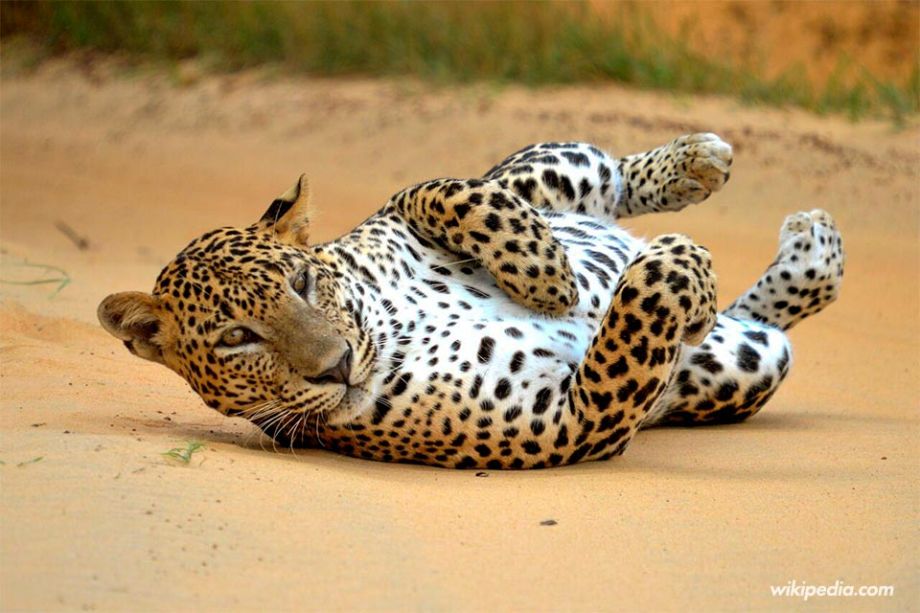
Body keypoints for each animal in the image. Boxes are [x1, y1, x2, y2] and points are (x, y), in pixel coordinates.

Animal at [97, 135, 844, 468]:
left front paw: (551, 280)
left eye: (303, 284)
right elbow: (640, 311)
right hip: (745, 363)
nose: (336, 365)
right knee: (753, 320)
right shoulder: (574, 422)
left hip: (550, 171)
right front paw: (673, 262)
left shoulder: (402, 212)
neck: (390, 325)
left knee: (587, 174)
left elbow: (437, 188)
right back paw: (803, 255)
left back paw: (697, 165)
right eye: (235, 339)